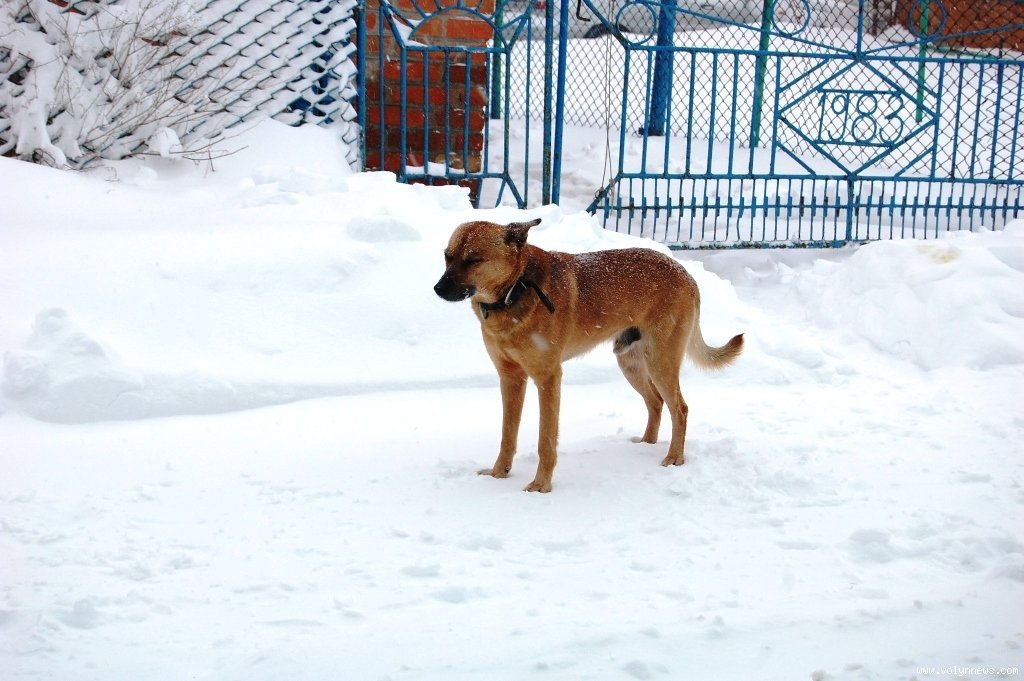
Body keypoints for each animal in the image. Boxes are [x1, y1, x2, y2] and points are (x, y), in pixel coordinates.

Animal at [434, 218, 743, 492]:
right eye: (448, 257)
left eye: (473, 260)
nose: (438, 289)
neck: (515, 289)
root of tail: (686, 274)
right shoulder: (510, 378)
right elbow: (507, 434)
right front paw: (498, 474)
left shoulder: (548, 378)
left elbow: (546, 439)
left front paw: (541, 485)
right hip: (630, 362)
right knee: (655, 402)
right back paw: (646, 444)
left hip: (660, 362)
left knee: (680, 409)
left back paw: (674, 457)